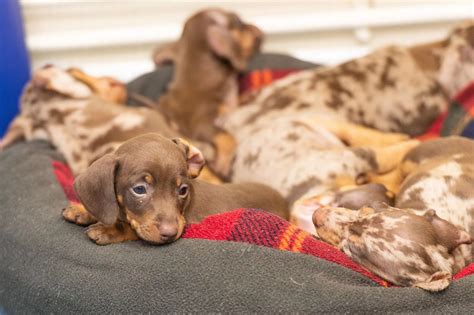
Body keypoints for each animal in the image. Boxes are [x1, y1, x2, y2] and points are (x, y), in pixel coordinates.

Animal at [154, 8, 262, 178]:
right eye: (238, 21)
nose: (258, 28)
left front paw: (248, 96)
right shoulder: (202, 124)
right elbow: (228, 138)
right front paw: (223, 164)